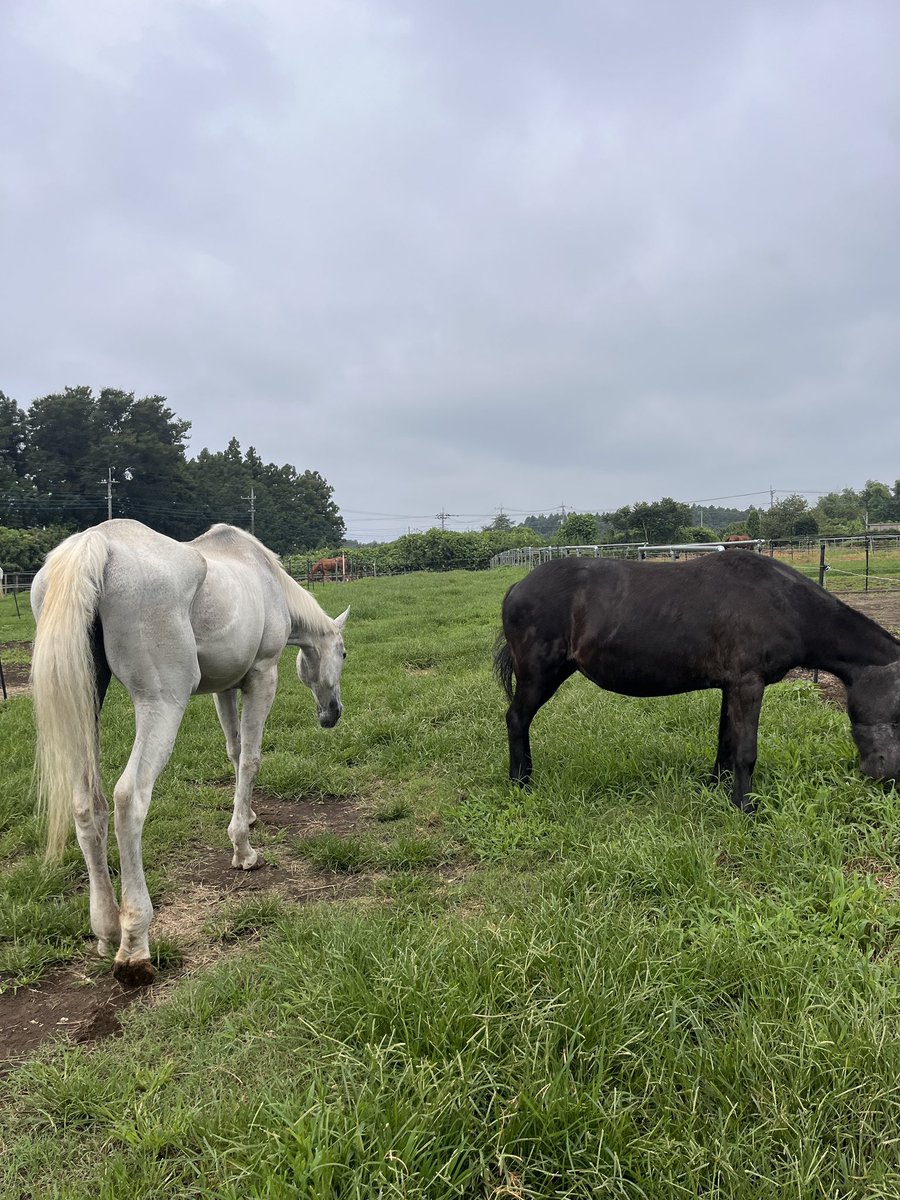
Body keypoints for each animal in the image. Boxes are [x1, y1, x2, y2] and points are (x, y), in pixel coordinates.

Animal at [30, 519, 349, 987]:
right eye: (342, 653)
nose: (332, 714)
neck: (266, 580)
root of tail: (97, 543)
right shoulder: (261, 677)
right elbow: (251, 757)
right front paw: (243, 850)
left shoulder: (225, 688)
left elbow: (235, 752)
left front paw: (247, 816)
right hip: (163, 702)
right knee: (129, 798)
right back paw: (134, 946)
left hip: (86, 706)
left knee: (88, 805)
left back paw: (107, 929)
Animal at [494, 552, 900, 812]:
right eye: (898, 713)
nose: (888, 776)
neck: (782, 603)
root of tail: (516, 586)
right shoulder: (748, 685)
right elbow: (746, 750)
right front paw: (745, 807)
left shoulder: (731, 686)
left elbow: (726, 741)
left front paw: (716, 787)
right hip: (539, 676)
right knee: (516, 720)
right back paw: (521, 783)